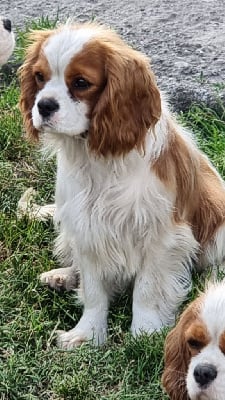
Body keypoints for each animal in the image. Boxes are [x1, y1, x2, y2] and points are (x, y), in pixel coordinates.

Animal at [18, 21, 225, 348]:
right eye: (39, 76)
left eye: (80, 82)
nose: (44, 105)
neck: (97, 158)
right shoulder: (87, 228)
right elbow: (93, 290)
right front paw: (87, 333)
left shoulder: (160, 235)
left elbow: (146, 289)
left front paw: (145, 332)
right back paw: (63, 276)